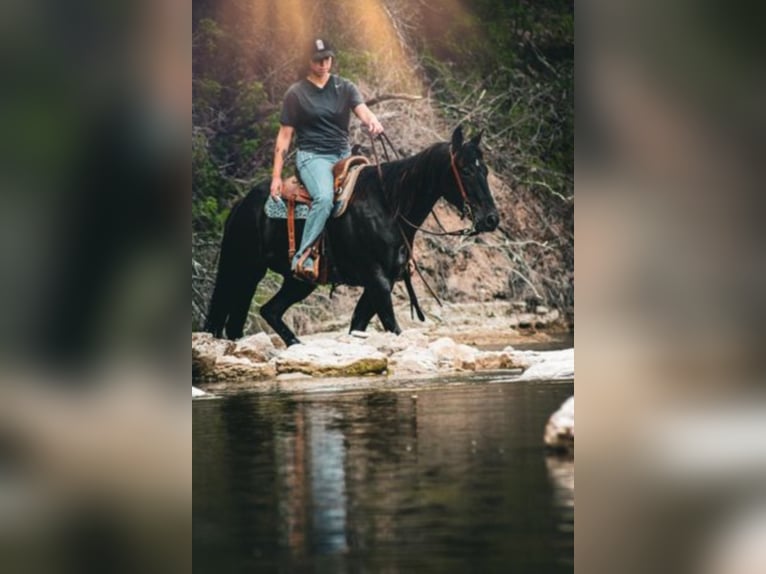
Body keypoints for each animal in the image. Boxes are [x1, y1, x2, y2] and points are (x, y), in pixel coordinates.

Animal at [207, 127, 500, 346]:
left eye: (485, 170)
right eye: (465, 170)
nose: (491, 219)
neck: (389, 205)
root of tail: (241, 204)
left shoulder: (381, 283)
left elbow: (358, 326)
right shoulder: (377, 281)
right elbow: (393, 328)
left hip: (297, 281)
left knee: (267, 312)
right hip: (245, 270)